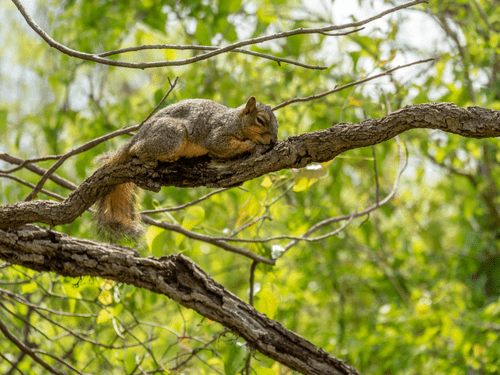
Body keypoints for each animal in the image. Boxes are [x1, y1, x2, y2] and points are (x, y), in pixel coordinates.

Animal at [95, 95, 280, 239]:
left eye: (277, 124)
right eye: (260, 120)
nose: (273, 141)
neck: (237, 121)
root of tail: (137, 136)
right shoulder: (217, 135)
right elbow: (223, 145)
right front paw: (248, 144)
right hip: (172, 134)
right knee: (137, 149)